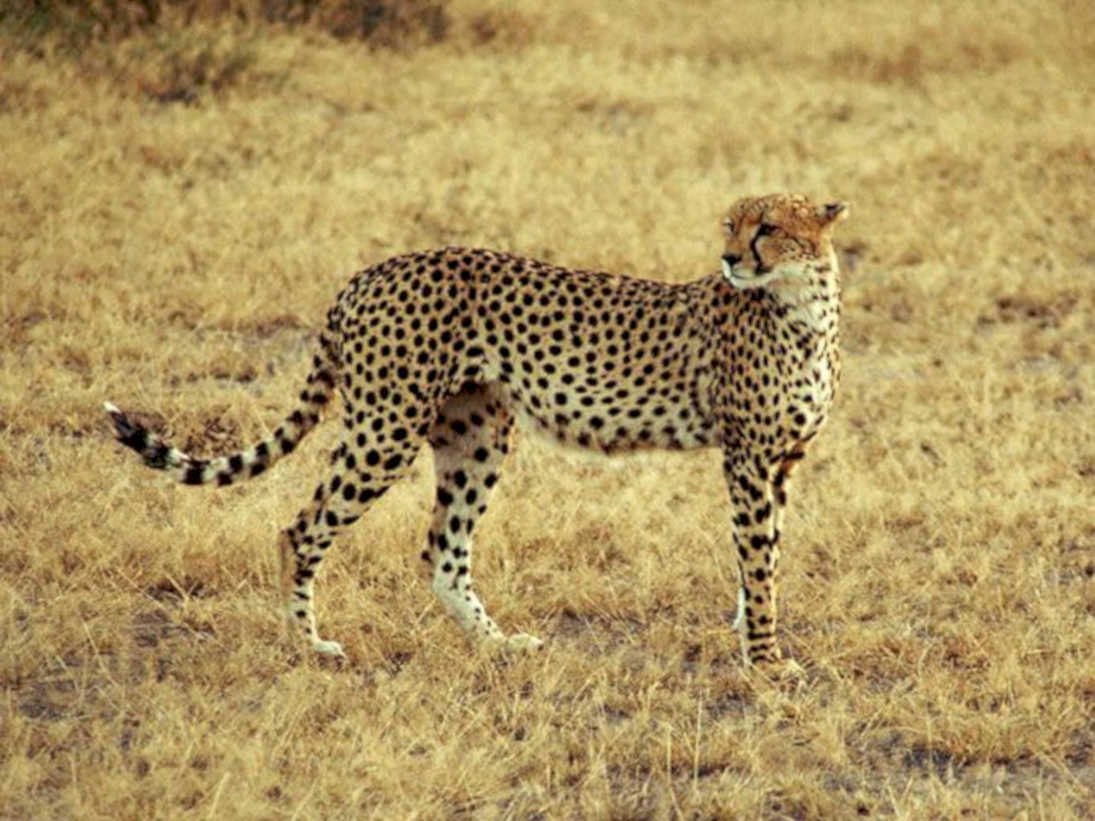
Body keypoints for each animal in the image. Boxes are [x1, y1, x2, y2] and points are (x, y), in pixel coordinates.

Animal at [105, 192, 848, 671]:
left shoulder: (780, 460)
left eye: (767, 227)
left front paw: (749, 631)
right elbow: (759, 559)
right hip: (386, 427)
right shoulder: (747, 458)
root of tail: (367, 273)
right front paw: (767, 660)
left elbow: (763, 557)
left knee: (441, 550)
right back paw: (306, 645)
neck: (804, 305)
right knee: (301, 528)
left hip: (476, 434)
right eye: (731, 224)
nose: (729, 258)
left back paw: (495, 645)